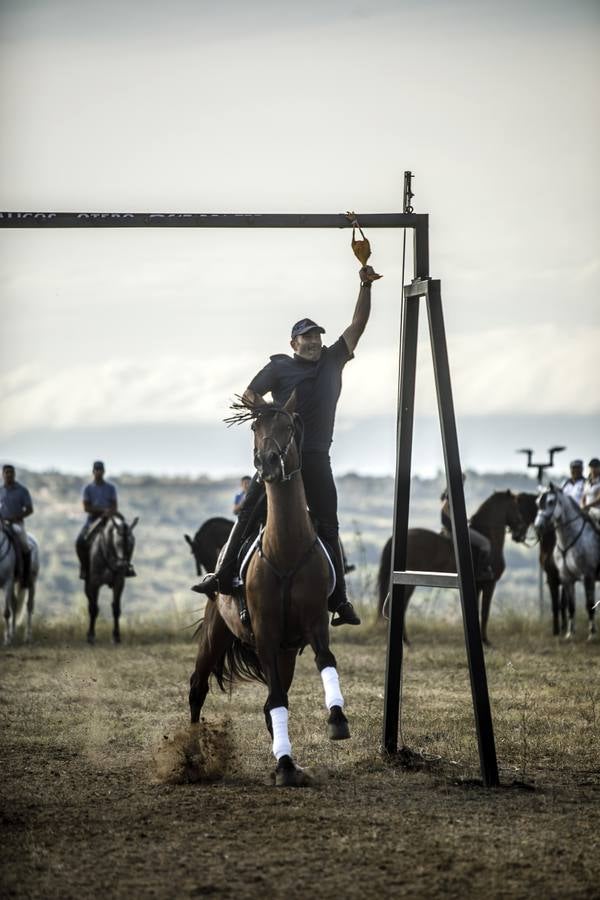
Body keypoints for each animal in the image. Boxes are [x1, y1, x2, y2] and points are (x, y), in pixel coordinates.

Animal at [84, 512, 138, 648]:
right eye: (117, 542)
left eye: (132, 543)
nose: (123, 565)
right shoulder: (95, 583)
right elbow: (94, 609)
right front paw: (91, 636)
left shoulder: (119, 582)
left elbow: (116, 609)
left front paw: (116, 637)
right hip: (87, 582)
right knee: (90, 603)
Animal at [186, 390, 346, 784]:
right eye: (256, 428)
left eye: (288, 426)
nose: (268, 463)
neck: (284, 549)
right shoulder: (266, 631)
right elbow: (276, 700)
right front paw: (285, 765)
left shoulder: (313, 622)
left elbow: (325, 661)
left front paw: (337, 719)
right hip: (216, 633)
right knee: (198, 688)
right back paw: (191, 758)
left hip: (286, 653)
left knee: (271, 701)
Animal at [378, 492, 528, 648]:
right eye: (515, 507)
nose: (521, 533)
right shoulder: (489, 584)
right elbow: (485, 613)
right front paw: (486, 641)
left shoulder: (477, 586)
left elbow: (478, 612)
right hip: (407, 583)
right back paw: (405, 640)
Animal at [536, 486, 600, 640]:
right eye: (537, 502)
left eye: (551, 502)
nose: (538, 526)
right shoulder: (566, 578)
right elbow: (570, 606)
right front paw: (570, 634)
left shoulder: (588, 576)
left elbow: (589, 604)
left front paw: (592, 634)